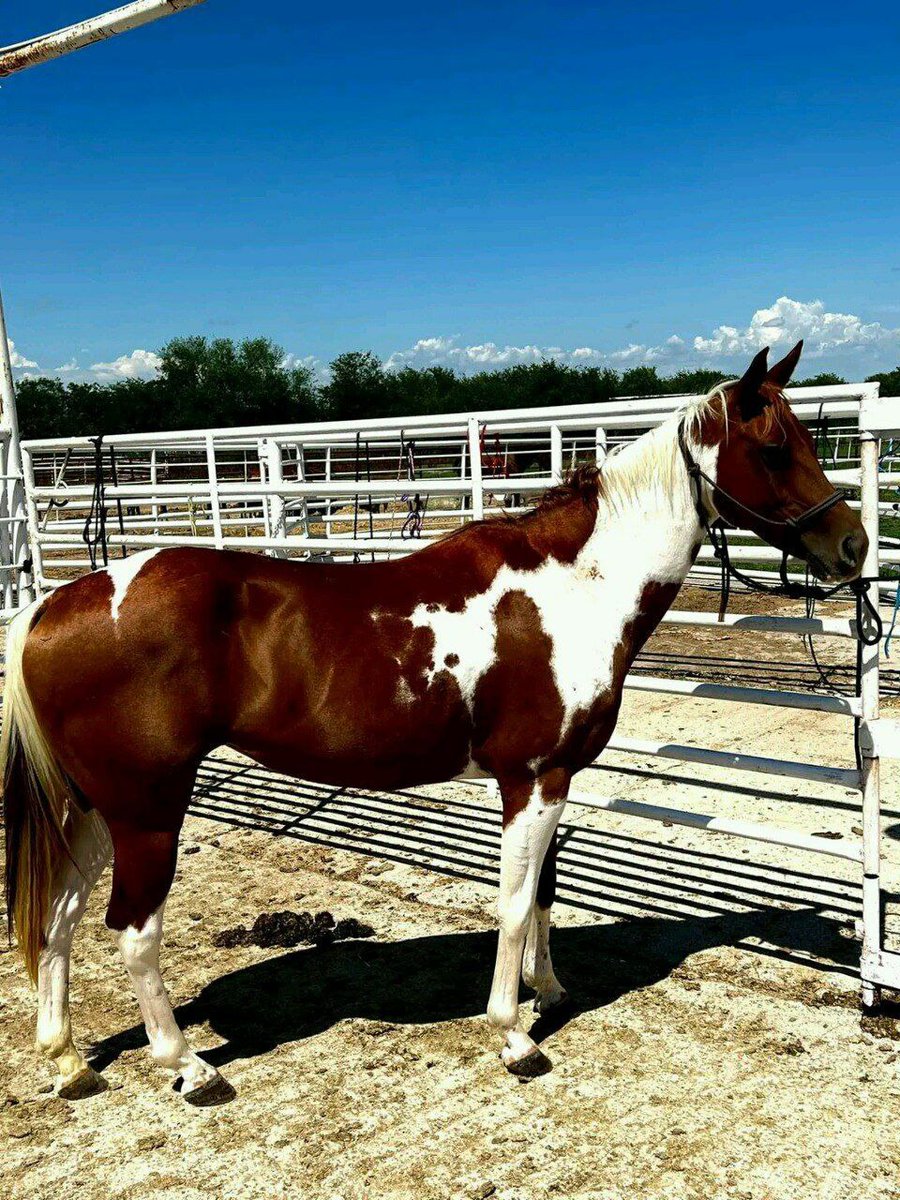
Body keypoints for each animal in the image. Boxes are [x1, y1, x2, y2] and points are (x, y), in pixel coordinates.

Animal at [1, 341, 867, 1106]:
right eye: (775, 447)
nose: (853, 546)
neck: (574, 586)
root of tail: (51, 606)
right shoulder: (532, 780)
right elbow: (514, 904)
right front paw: (514, 1036)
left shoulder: (551, 781)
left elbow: (545, 891)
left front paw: (550, 991)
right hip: (149, 812)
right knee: (132, 932)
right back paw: (189, 1068)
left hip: (96, 809)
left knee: (61, 919)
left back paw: (69, 1061)